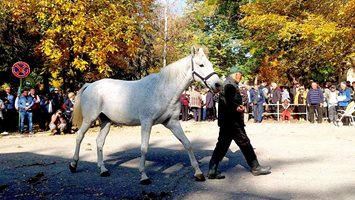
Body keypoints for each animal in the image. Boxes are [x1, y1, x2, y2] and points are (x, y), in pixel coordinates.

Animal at [69, 47, 222, 184]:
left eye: (210, 64)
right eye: (201, 65)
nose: (218, 84)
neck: (162, 91)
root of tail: (90, 85)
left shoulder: (172, 123)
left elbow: (187, 144)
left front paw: (198, 173)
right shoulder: (147, 123)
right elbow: (144, 148)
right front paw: (144, 176)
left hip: (106, 122)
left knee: (99, 141)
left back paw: (103, 169)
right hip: (89, 119)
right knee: (79, 136)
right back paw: (73, 165)